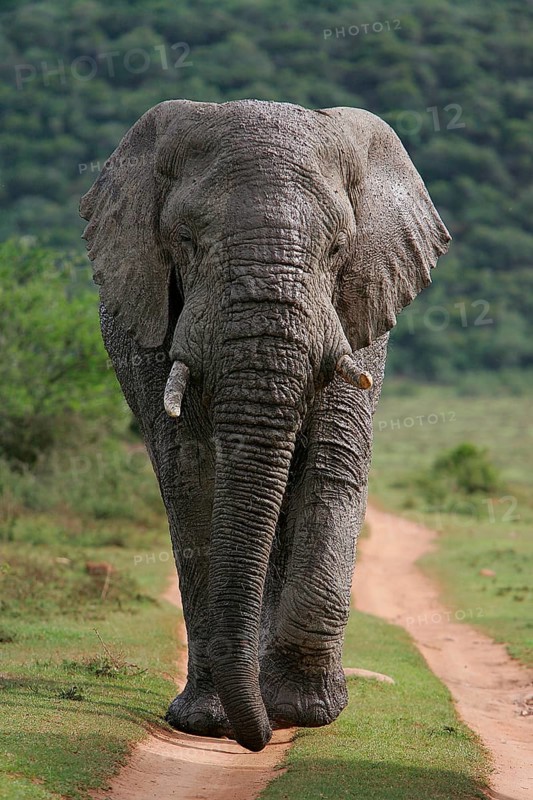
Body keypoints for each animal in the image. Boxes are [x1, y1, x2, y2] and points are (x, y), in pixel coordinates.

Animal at [80, 99, 450, 752]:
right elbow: (193, 479)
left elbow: (331, 465)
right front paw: (209, 723)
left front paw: (303, 712)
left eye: (339, 248)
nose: (258, 737)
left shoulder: (358, 311)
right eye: (185, 241)